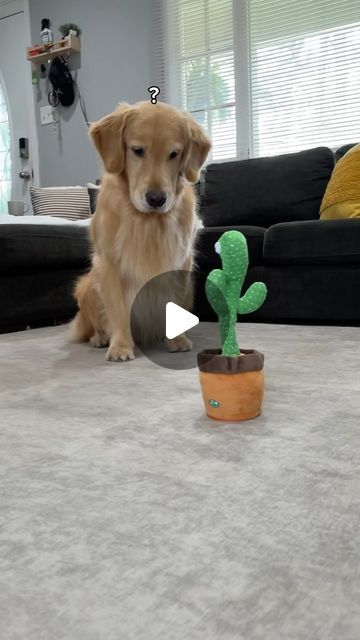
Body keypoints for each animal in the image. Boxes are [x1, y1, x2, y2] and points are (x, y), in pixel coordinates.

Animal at [71, 100, 211, 360]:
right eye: (137, 150)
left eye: (174, 154)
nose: (156, 199)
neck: (147, 221)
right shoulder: (108, 264)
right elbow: (117, 311)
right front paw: (120, 346)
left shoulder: (181, 264)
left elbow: (173, 303)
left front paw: (177, 340)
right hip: (86, 287)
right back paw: (100, 338)